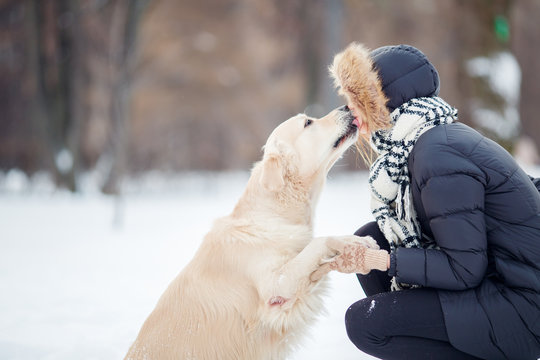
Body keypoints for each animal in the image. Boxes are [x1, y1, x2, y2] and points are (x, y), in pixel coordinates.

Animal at [124, 107, 378, 360]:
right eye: (308, 123)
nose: (347, 108)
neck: (272, 212)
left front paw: (358, 241)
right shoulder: (276, 287)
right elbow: (318, 242)